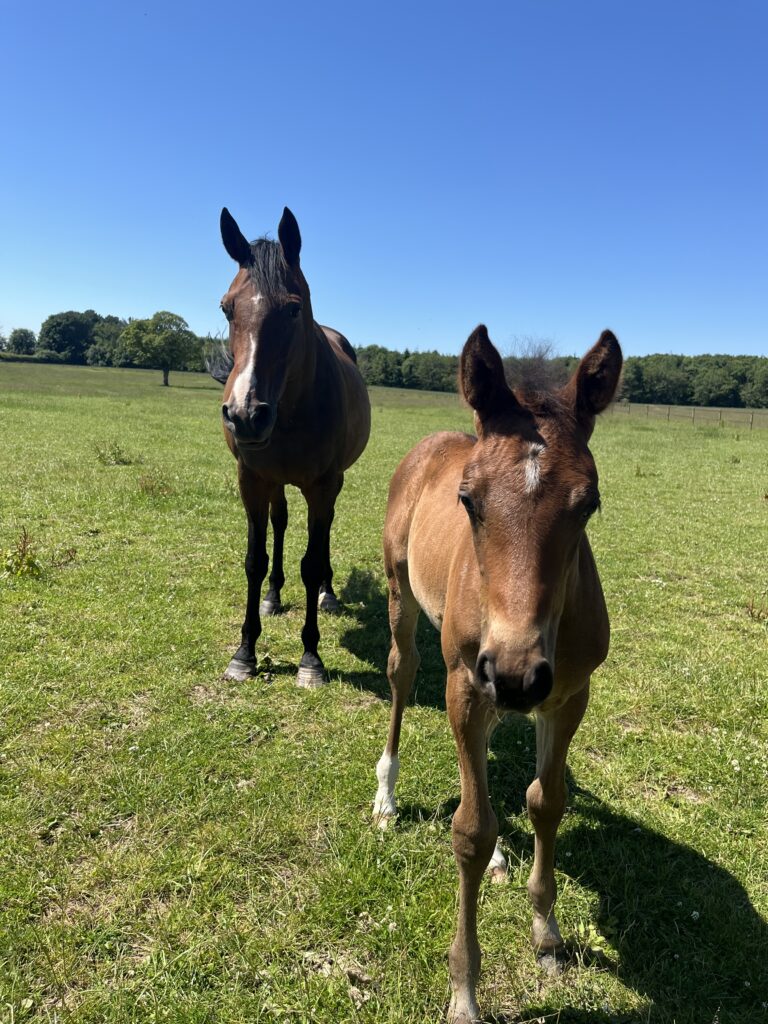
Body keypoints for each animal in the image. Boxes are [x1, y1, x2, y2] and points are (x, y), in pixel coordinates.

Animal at [216, 207, 371, 688]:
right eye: (226, 307)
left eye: (293, 308)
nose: (246, 414)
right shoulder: (251, 479)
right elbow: (255, 559)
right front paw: (244, 652)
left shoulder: (323, 485)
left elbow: (312, 561)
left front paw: (311, 658)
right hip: (276, 482)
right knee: (281, 524)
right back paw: (272, 595)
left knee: (323, 539)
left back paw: (328, 594)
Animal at [373, 324, 622, 1023]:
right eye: (468, 500)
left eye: (588, 504)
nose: (514, 674)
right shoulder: (466, 684)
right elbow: (470, 829)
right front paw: (464, 989)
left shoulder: (568, 695)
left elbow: (546, 800)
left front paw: (547, 932)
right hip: (403, 598)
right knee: (402, 675)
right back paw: (386, 794)